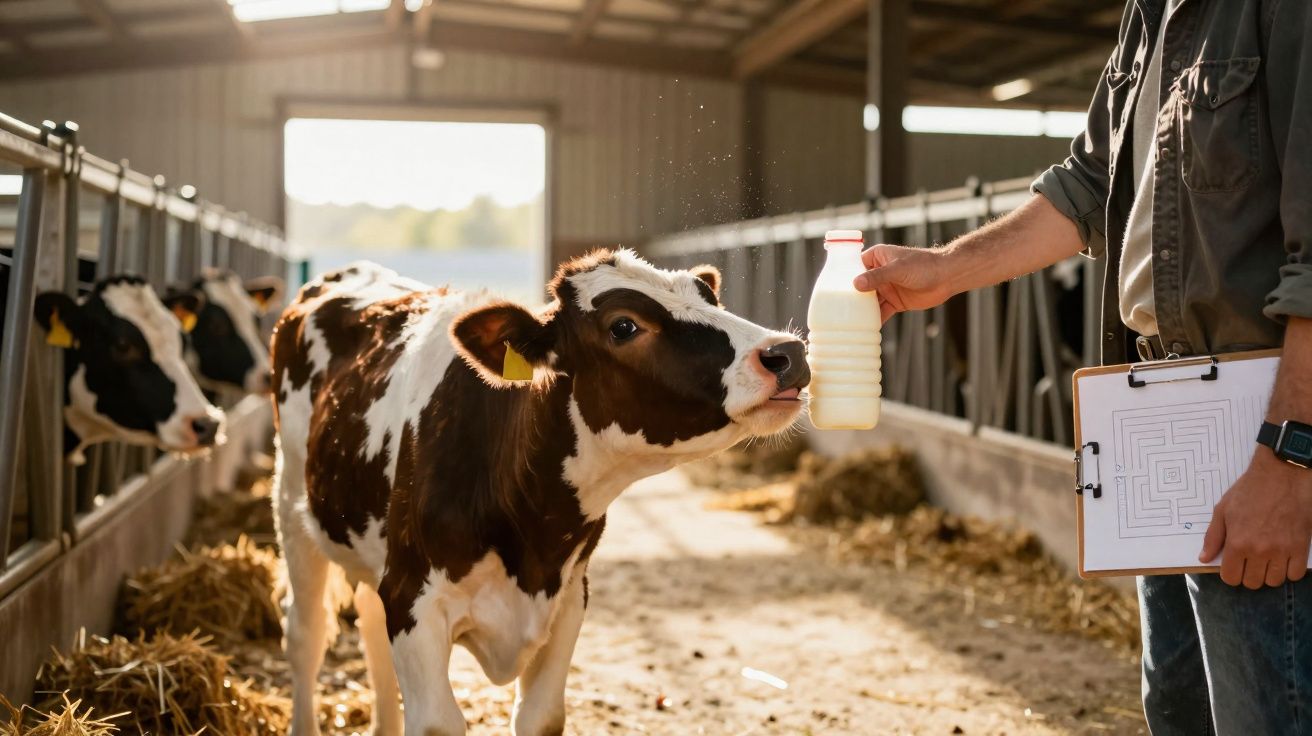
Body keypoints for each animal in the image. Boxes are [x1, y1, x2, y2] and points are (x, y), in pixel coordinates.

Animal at [270, 250, 811, 736]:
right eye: (623, 326)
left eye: (708, 296)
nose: (787, 353)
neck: (533, 532)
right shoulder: (412, 598)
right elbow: (438, 723)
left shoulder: (568, 600)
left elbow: (543, 717)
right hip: (292, 504)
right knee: (305, 634)